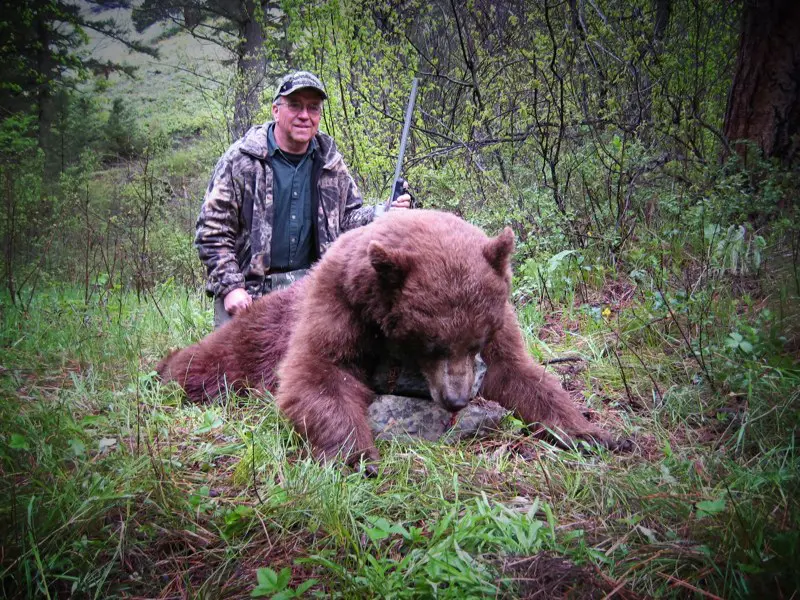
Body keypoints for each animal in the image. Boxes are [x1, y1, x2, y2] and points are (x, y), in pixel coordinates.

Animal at [158, 210, 620, 472]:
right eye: (431, 344)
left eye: (476, 341)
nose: (457, 400)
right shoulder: (340, 303)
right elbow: (319, 372)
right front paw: (358, 457)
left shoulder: (501, 321)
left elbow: (521, 374)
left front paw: (593, 433)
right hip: (259, 331)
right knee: (210, 363)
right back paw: (166, 369)